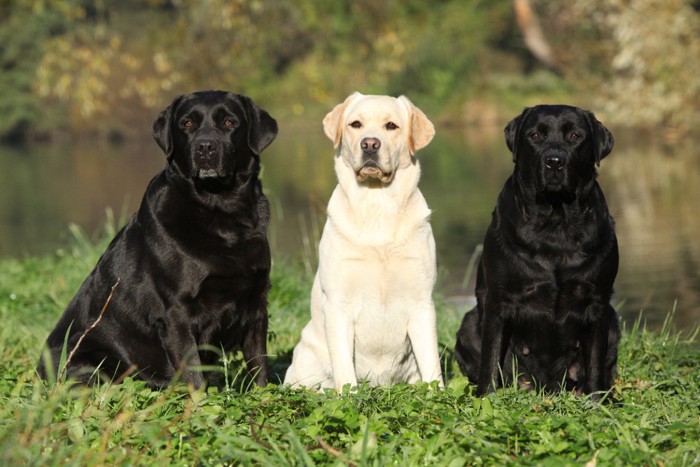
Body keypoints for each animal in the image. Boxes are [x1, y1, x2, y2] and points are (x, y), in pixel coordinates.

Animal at [38, 91, 278, 392]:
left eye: (230, 122)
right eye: (187, 123)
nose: (205, 147)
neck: (220, 211)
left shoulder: (257, 302)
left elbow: (259, 365)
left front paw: (264, 396)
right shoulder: (177, 312)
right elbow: (193, 376)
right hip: (93, 357)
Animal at [284, 91, 442, 392]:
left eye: (391, 126)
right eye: (355, 124)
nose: (370, 144)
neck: (376, 204)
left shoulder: (421, 303)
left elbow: (432, 365)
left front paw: (439, 397)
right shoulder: (338, 305)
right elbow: (345, 371)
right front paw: (349, 398)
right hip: (305, 358)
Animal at [456, 104, 620, 400]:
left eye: (576, 135)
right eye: (534, 135)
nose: (554, 161)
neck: (555, 221)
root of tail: (547, 386)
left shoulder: (598, 303)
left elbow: (594, 360)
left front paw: (598, 400)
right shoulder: (498, 300)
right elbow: (491, 356)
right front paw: (486, 397)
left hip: (613, 323)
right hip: (468, 325)